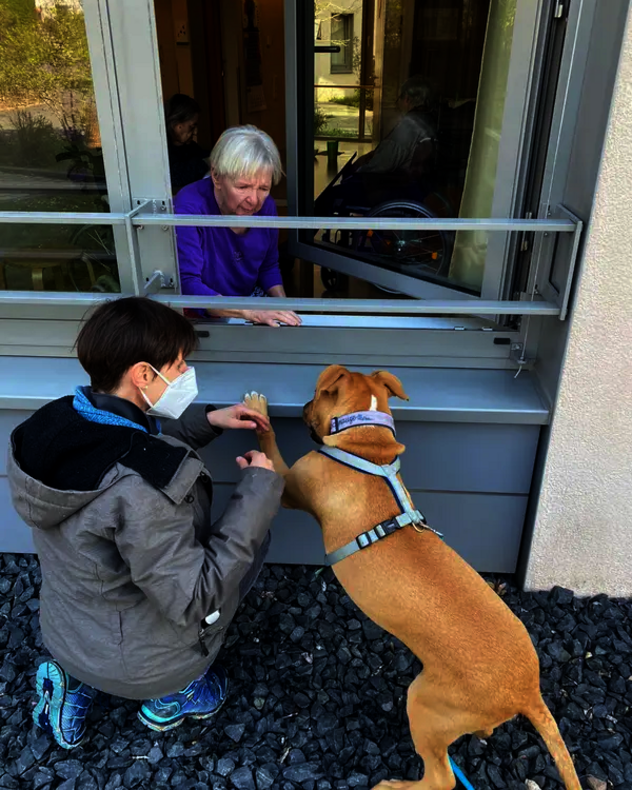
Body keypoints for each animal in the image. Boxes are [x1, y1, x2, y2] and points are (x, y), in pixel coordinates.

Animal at [243, 368, 584, 788]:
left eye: (316, 395)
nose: (303, 407)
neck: (366, 444)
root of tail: (528, 690)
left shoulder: (290, 485)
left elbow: (270, 446)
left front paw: (257, 411)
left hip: (423, 704)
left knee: (441, 777)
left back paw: (394, 783)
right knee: (481, 732)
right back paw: (481, 732)